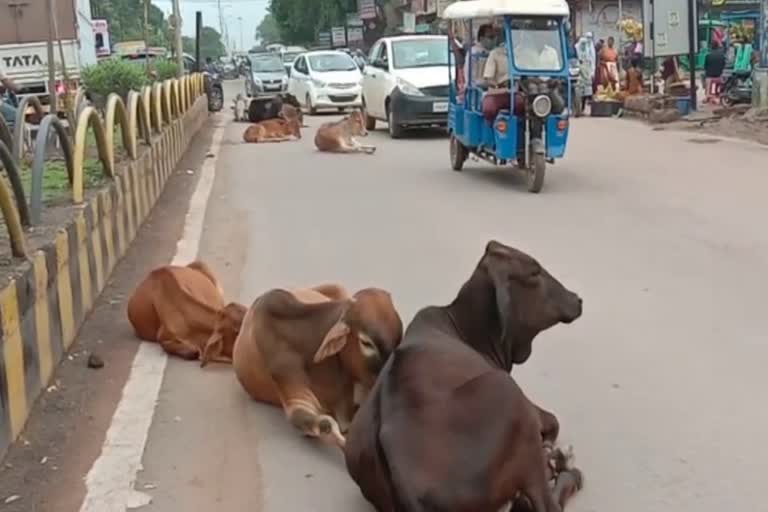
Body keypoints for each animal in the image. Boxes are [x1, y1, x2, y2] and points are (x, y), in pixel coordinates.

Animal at [344, 241, 584, 512]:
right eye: (534, 272)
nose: (577, 299)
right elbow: (553, 421)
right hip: (507, 394)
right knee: (545, 503)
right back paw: (563, 468)